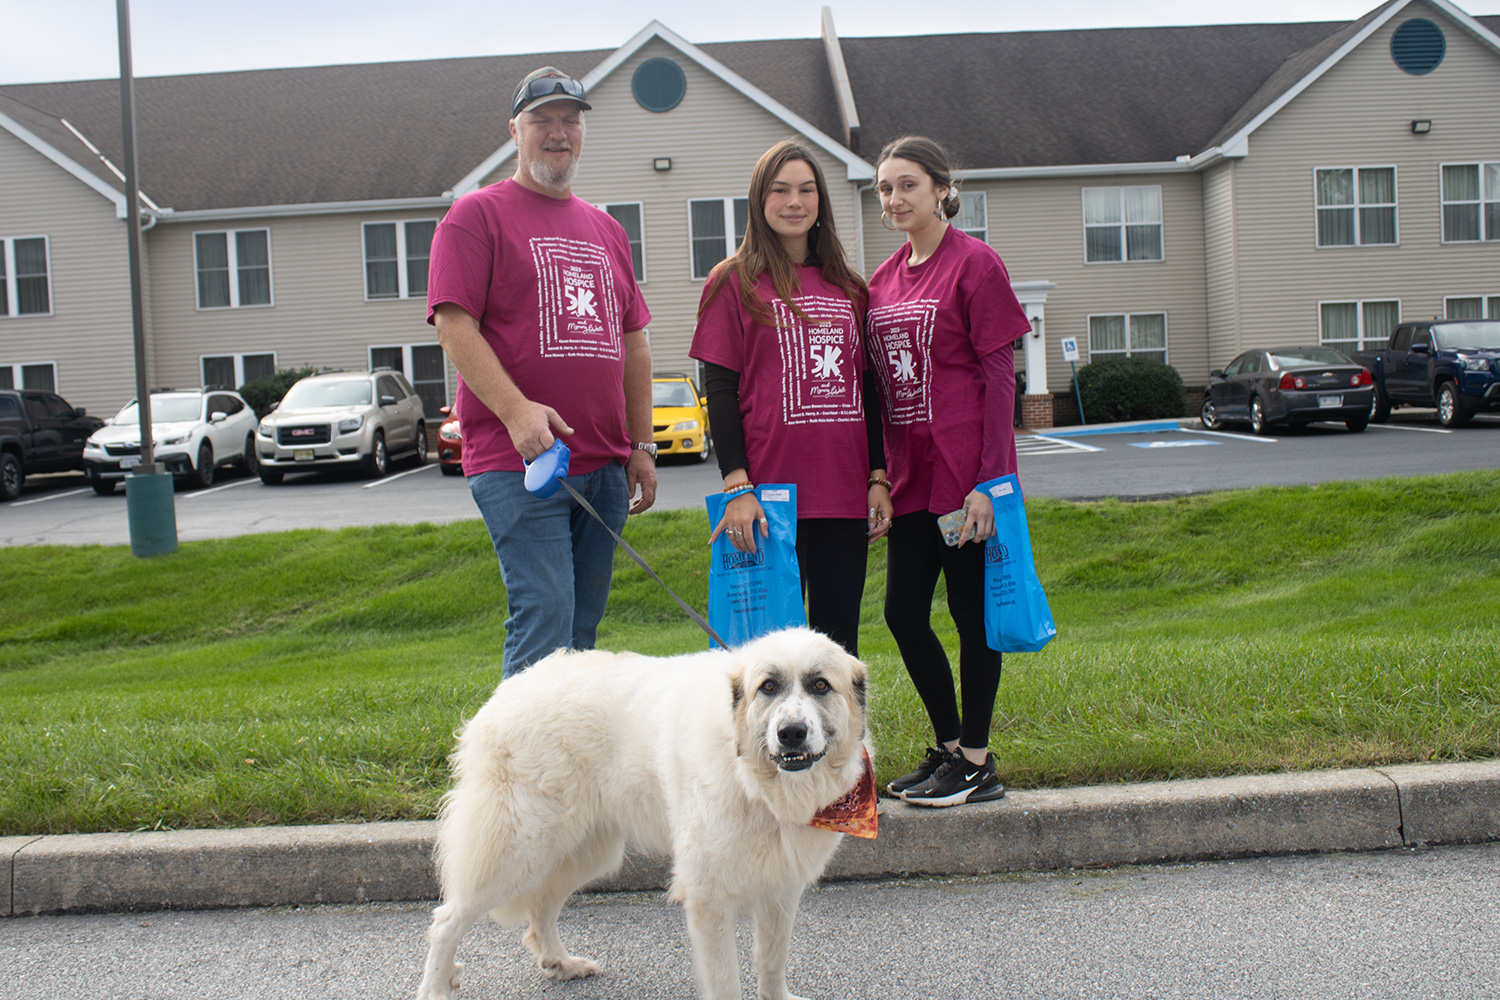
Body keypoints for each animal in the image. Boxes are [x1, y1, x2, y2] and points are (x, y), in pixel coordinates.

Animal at [415, 627, 872, 1000]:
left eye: (820, 685)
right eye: (769, 687)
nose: (791, 733)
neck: (754, 780)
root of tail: (508, 690)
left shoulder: (780, 887)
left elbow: (771, 962)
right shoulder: (709, 898)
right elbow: (726, 980)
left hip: (582, 851)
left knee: (541, 906)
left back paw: (560, 963)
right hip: (518, 851)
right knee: (447, 919)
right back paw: (436, 986)